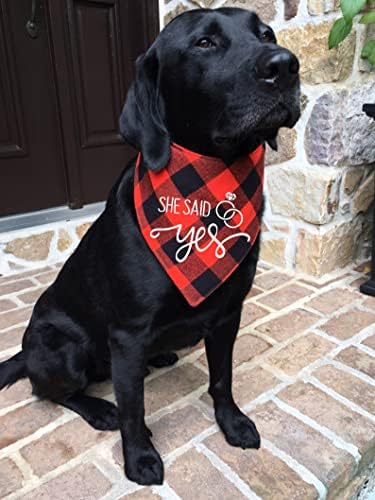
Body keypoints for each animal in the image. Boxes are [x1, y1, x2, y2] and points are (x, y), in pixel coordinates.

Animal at [0, 6, 300, 484]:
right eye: (204, 43)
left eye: (266, 33)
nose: (286, 65)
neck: (206, 193)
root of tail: (26, 350)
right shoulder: (127, 334)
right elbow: (133, 408)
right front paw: (139, 456)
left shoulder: (227, 315)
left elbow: (222, 379)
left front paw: (232, 423)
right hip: (61, 347)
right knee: (50, 390)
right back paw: (98, 407)